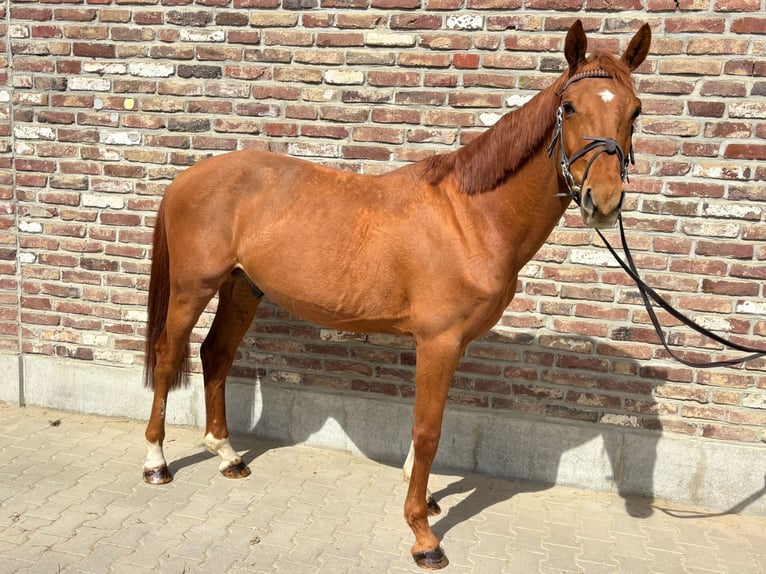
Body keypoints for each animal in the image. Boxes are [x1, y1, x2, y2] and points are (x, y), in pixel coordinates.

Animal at [142, 20, 651, 569]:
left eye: (635, 110)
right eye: (570, 107)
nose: (604, 202)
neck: (470, 218)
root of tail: (186, 178)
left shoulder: (453, 343)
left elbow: (427, 424)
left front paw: (424, 497)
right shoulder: (438, 341)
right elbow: (428, 432)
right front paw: (423, 535)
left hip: (242, 288)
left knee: (216, 355)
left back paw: (227, 455)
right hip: (192, 289)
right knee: (168, 357)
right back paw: (156, 462)